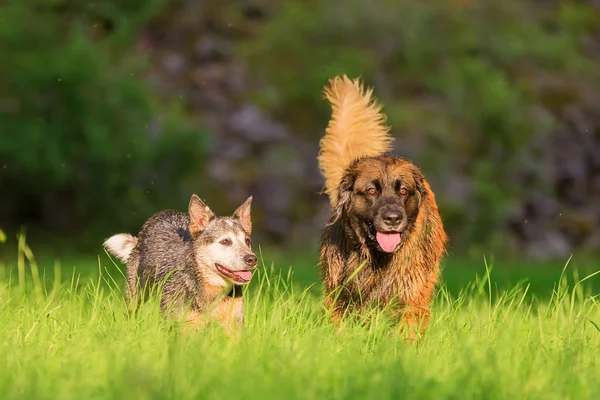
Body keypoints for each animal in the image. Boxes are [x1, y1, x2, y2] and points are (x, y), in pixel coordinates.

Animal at [103, 194, 258, 334]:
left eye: (247, 241)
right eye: (225, 241)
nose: (252, 259)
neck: (212, 290)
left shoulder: (233, 326)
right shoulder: (182, 326)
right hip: (135, 297)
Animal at [316, 75, 448, 338]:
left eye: (403, 191)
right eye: (371, 191)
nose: (393, 218)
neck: (377, 258)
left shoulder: (411, 295)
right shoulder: (340, 294)